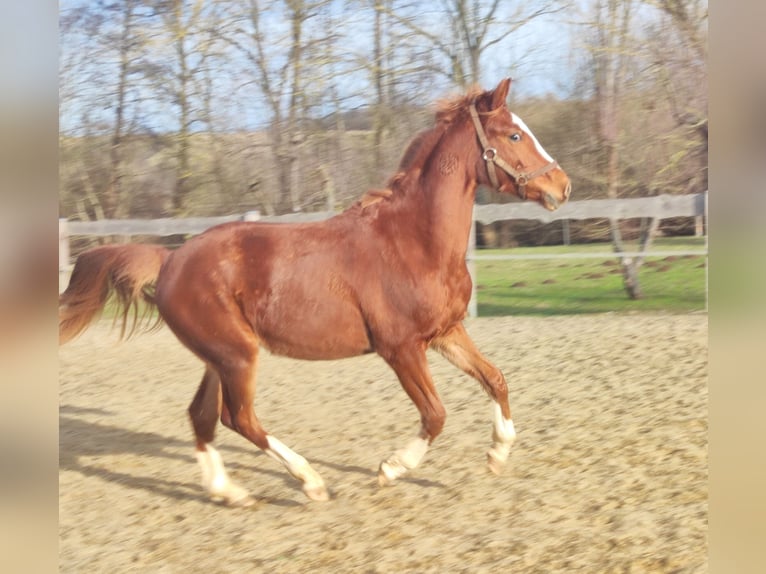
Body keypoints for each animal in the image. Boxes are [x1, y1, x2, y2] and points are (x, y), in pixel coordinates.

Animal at [60, 77, 568, 508]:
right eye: (514, 136)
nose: (562, 186)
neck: (414, 240)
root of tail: (169, 261)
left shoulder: (445, 333)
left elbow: (495, 379)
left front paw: (498, 454)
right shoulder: (401, 348)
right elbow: (436, 414)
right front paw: (391, 469)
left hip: (218, 357)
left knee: (202, 417)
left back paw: (231, 492)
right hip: (237, 356)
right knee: (238, 419)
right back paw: (310, 482)